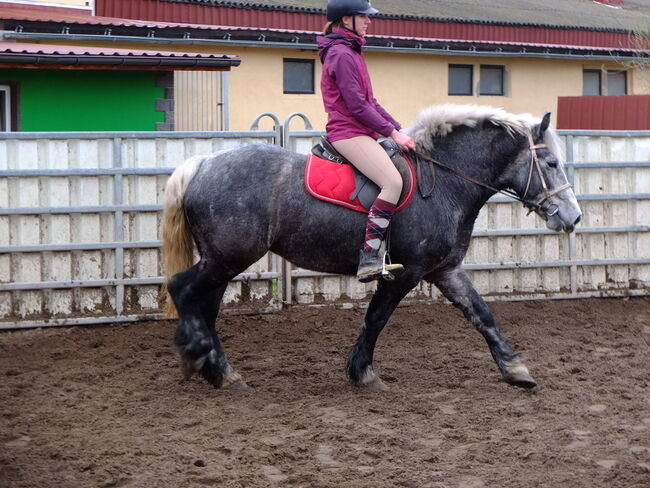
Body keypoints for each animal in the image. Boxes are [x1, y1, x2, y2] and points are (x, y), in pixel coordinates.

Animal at [162, 105, 584, 390]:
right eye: (550, 162)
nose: (574, 217)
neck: (445, 180)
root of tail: (203, 164)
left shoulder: (445, 270)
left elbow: (481, 313)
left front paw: (515, 370)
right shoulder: (406, 272)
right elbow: (377, 318)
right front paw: (361, 371)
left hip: (222, 261)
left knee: (205, 305)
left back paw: (220, 371)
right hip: (227, 259)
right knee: (182, 289)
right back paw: (196, 354)